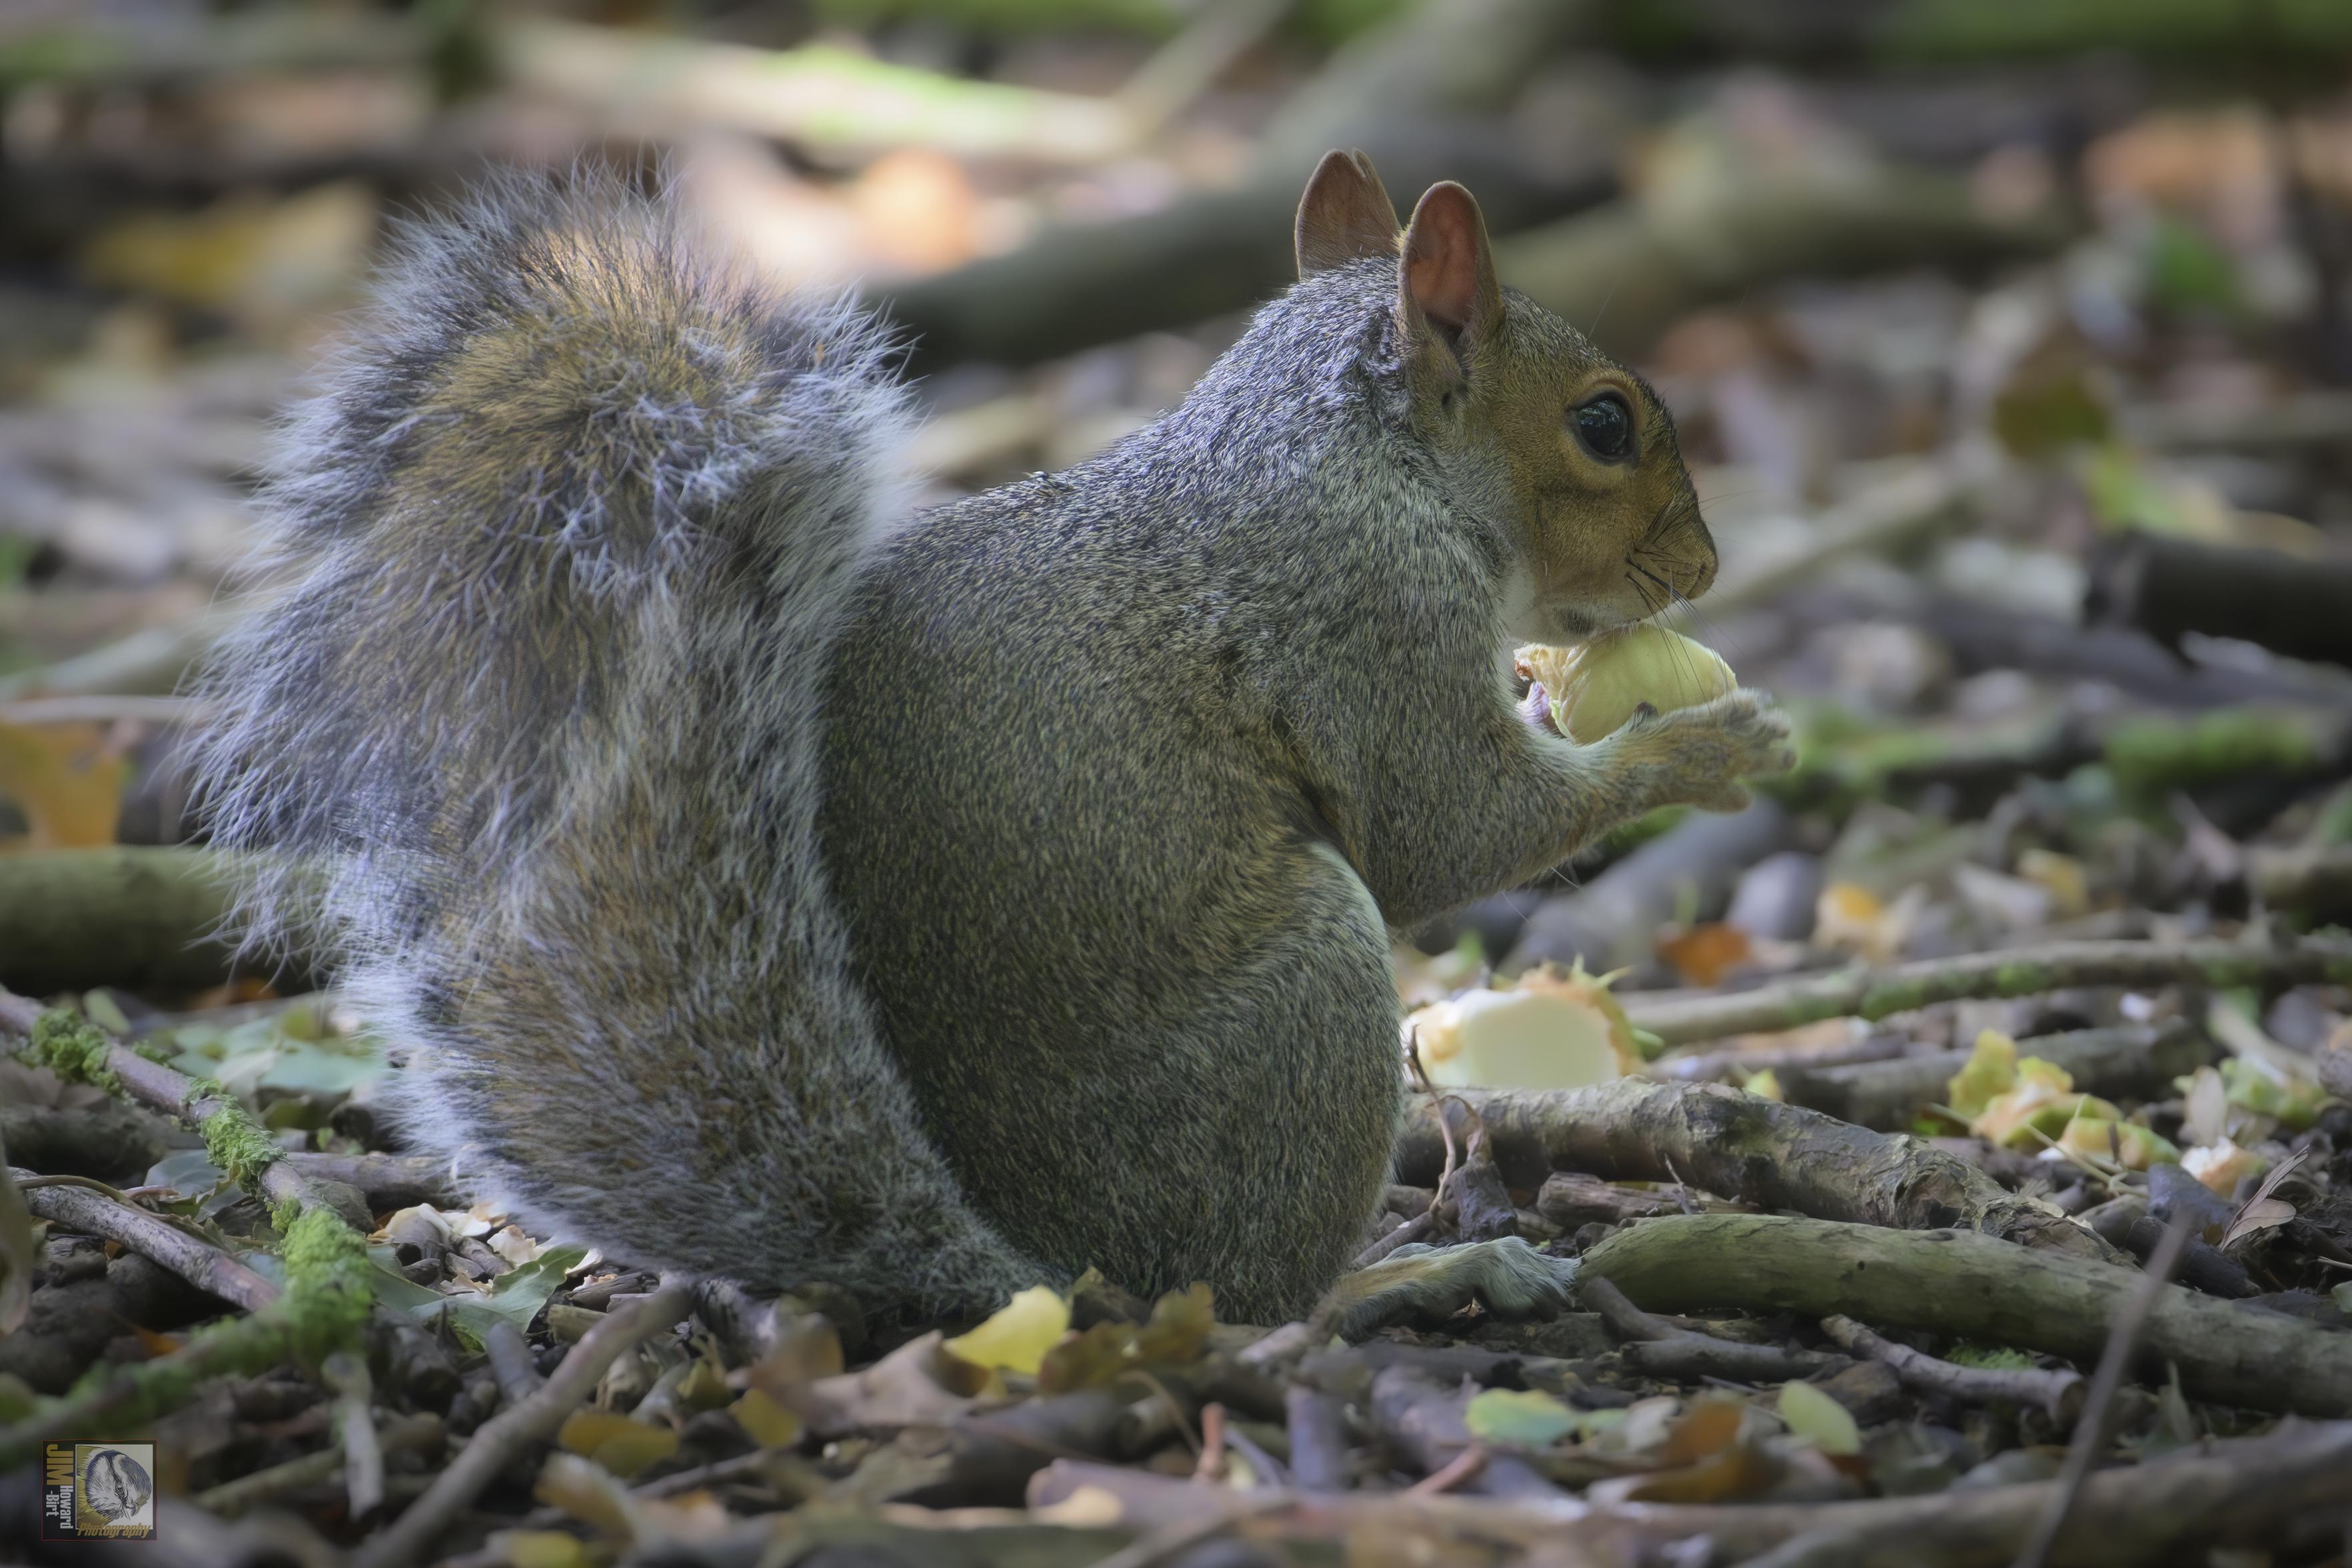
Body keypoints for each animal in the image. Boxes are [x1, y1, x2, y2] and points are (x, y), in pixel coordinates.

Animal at [193, 147, 1787, 1335]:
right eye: (1600, 424)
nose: (1703, 565)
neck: (1343, 453)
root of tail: (1027, 1281)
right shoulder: (1360, 611)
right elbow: (1443, 831)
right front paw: (1701, 745)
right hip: (1302, 1011)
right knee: (1246, 1304)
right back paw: (1415, 1273)